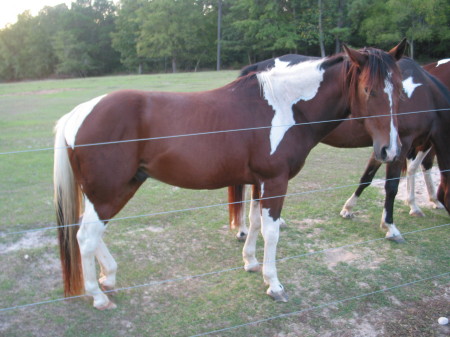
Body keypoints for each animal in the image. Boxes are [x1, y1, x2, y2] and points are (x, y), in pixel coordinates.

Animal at [54, 41, 406, 308]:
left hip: (114, 188)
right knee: (85, 236)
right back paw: (99, 296)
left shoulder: (259, 182)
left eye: (400, 91)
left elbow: (253, 222)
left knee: (90, 231)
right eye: (368, 90)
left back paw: (109, 277)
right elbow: (271, 232)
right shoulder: (275, 181)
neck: (288, 107)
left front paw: (250, 262)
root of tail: (78, 114)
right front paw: (274, 284)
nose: (389, 150)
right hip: (109, 191)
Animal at [230, 53, 450, 242]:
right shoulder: (401, 145)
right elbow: (393, 185)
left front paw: (349, 209)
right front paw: (392, 226)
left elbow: (370, 177)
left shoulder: (390, 146)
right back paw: (243, 229)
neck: (426, 93)